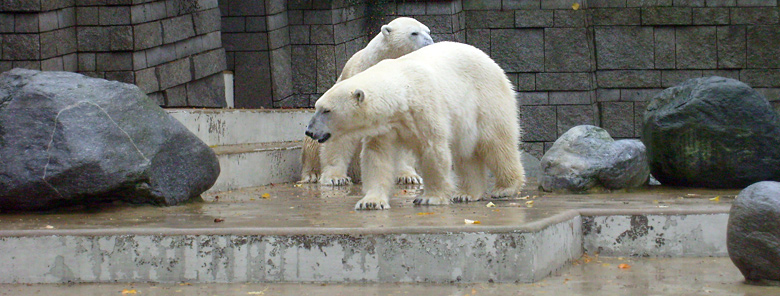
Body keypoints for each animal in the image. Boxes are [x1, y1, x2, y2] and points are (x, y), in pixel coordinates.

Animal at [300, 16, 436, 185]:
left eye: (428, 31)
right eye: (414, 33)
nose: (430, 43)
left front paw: (408, 176)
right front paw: (336, 178)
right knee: (311, 145)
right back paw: (312, 174)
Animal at [304, 41, 524, 209]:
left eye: (326, 110)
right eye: (317, 107)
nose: (309, 131)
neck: (402, 92)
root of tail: (493, 63)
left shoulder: (424, 108)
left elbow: (433, 150)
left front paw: (430, 197)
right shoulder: (385, 127)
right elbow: (377, 157)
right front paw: (371, 202)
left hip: (486, 99)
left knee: (496, 143)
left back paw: (505, 188)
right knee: (466, 153)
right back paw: (466, 193)